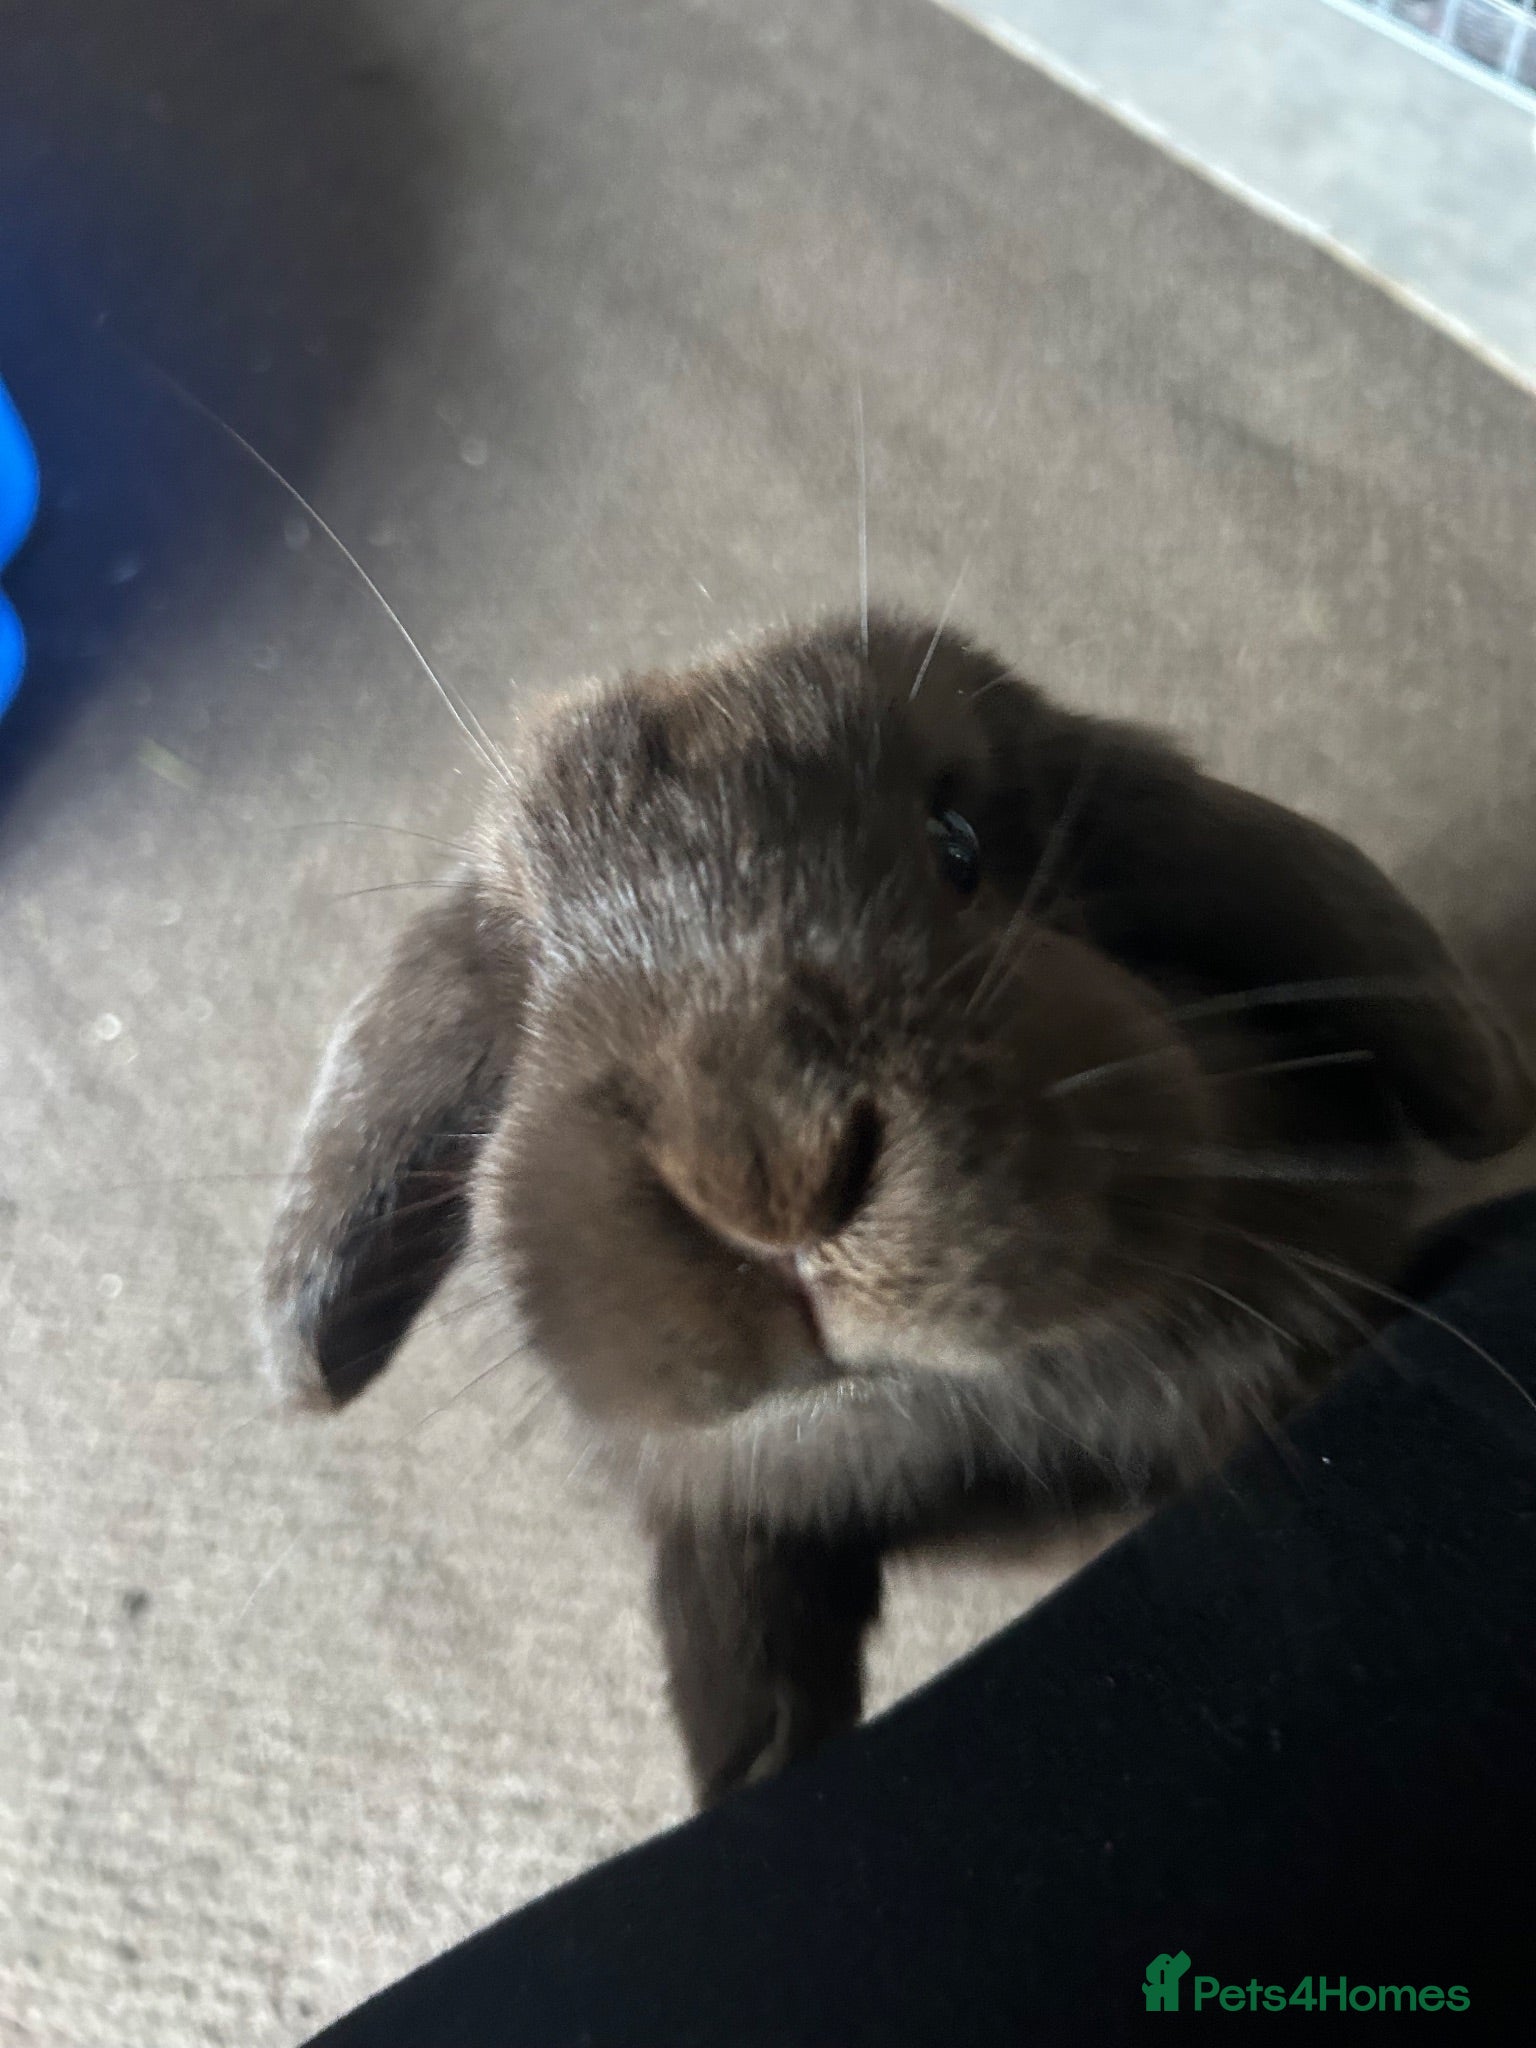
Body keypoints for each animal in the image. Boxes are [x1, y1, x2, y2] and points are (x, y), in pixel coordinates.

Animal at [262, 612, 1533, 1805]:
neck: (963, 1417)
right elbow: (737, 1618)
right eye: (527, 989)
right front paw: (747, 1767)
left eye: (957, 846)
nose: (767, 1174)